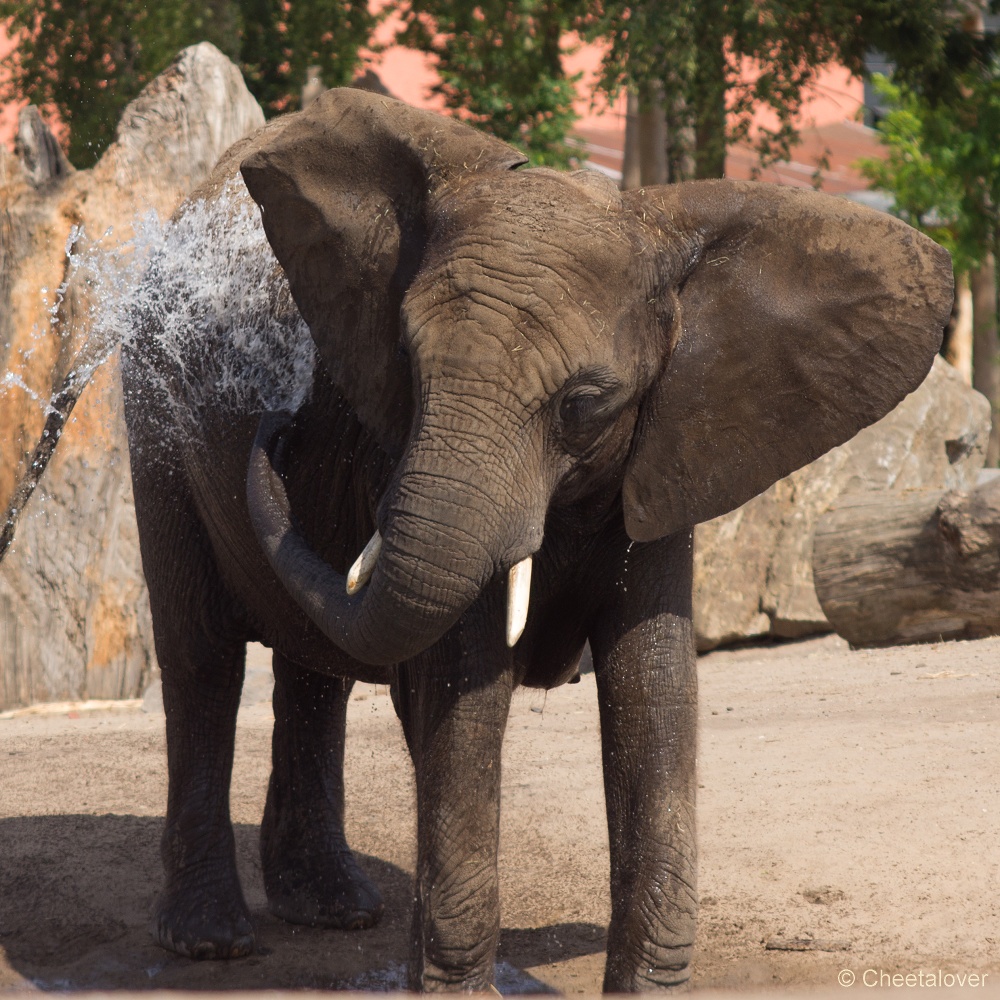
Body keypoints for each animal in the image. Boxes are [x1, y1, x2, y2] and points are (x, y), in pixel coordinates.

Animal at [111, 88, 952, 992]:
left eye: (585, 404)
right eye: (407, 363)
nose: (281, 425)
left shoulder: (669, 445)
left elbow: (654, 686)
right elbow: (463, 693)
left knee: (314, 666)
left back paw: (334, 909)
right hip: (153, 405)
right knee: (202, 658)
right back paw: (210, 940)